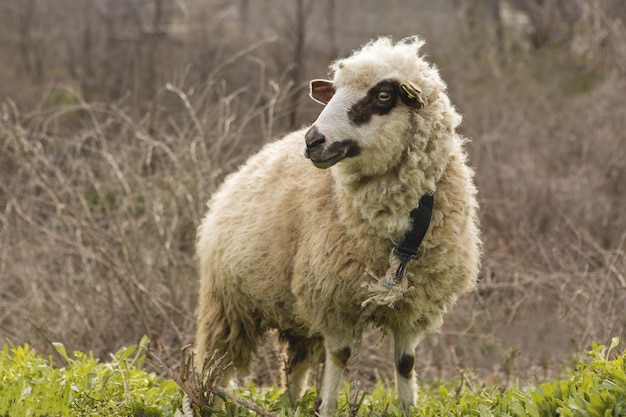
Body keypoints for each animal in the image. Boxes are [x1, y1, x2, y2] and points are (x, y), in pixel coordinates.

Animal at [194, 35, 478, 412]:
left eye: (383, 96)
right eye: (334, 91)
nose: (313, 141)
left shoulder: (412, 309)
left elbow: (405, 365)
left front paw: (407, 408)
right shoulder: (334, 302)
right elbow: (340, 357)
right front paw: (327, 408)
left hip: (296, 312)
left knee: (295, 364)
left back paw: (290, 405)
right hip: (228, 303)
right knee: (215, 362)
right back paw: (204, 401)